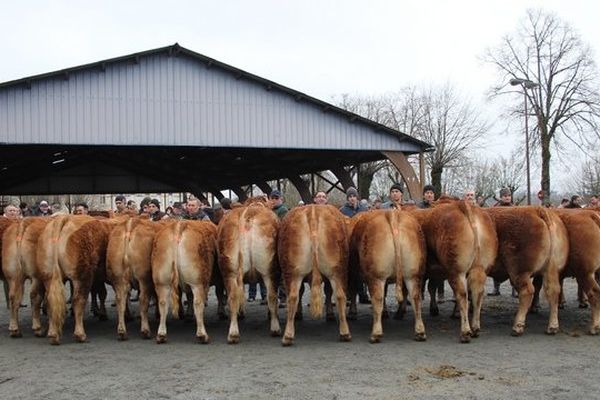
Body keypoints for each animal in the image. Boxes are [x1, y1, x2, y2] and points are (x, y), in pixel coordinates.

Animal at [217, 198, 280, 344]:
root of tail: (248, 213)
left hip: (231, 271)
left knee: (234, 297)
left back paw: (233, 333)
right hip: (269, 270)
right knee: (271, 296)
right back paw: (274, 328)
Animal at [278, 205, 352, 346]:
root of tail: (313, 211)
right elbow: (328, 291)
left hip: (293, 272)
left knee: (293, 296)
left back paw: (287, 336)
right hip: (336, 269)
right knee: (340, 296)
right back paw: (345, 333)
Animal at [350, 208, 428, 342]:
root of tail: (391, 213)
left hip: (376, 276)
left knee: (377, 298)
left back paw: (375, 334)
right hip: (413, 275)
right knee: (416, 297)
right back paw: (420, 332)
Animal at [488, 206, 568, 334]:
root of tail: (536, 210)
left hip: (519, 271)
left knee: (527, 291)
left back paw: (517, 326)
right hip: (551, 270)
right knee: (554, 291)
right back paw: (552, 326)